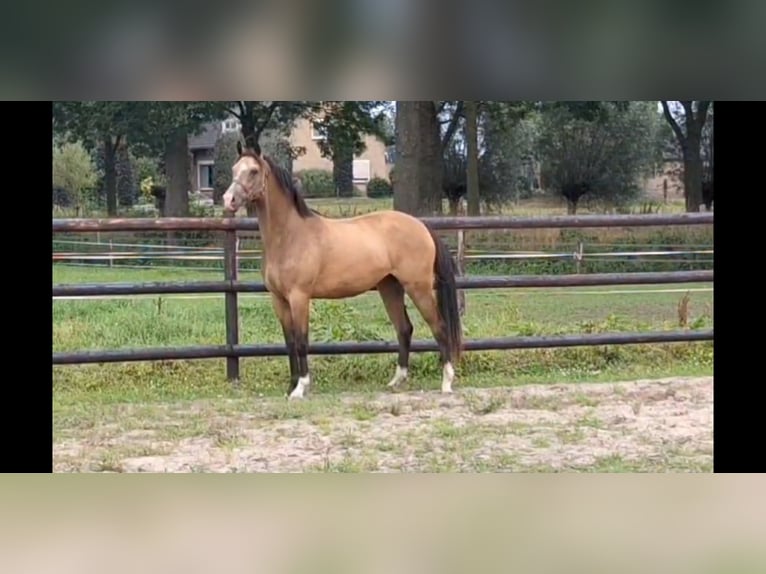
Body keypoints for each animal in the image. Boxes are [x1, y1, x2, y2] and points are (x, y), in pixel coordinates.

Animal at [222, 143, 462, 400]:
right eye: (234, 169)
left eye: (253, 171)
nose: (229, 199)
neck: (290, 235)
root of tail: (422, 226)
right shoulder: (279, 299)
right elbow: (289, 342)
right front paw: (291, 386)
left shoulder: (299, 297)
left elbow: (301, 341)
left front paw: (301, 387)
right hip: (390, 288)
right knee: (404, 329)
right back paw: (396, 381)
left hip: (419, 288)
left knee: (439, 327)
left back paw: (447, 382)